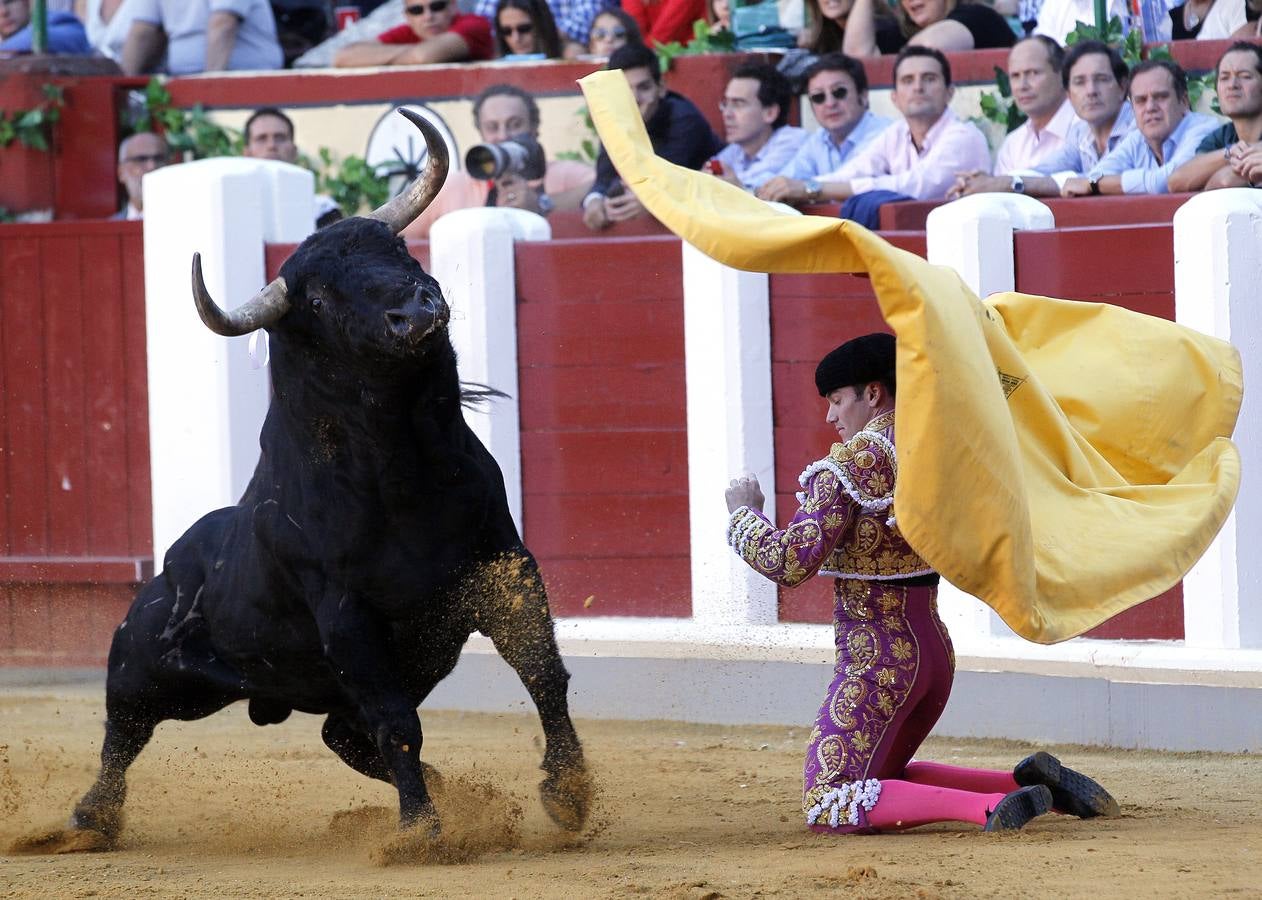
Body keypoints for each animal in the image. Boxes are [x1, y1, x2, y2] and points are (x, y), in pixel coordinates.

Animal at [64, 110, 585, 843]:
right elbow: (398, 724)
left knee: (342, 733)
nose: (417, 311)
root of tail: (171, 561)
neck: (403, 472)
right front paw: (421, 834)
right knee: (124, 731)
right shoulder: (347, 617)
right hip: (143, 663)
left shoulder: (504, 564)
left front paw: (568, 794)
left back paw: (448, 792)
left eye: (394, 247)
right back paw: (91, 817)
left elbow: (541, 671)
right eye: (315, 295)